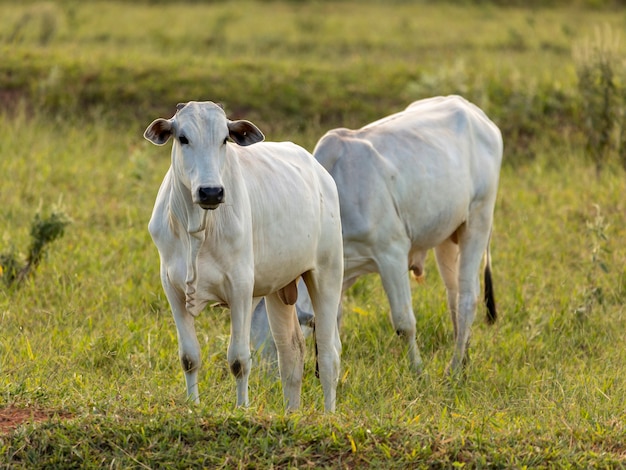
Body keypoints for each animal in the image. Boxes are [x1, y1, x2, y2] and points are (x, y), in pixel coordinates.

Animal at [143, 101, 342, 410]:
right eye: (183, 138)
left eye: (225, 139)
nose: (211, 192)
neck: (197, 228)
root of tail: (320, 173)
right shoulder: (172, 287)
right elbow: (189, 357)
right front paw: (193, 405)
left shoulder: (240, 287)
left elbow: (238, 360)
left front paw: (241, 408)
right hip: (280, 288)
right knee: (291, 350)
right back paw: (291, 412)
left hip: (328, 273)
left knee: (329, 353)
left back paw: (329, 414)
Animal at [312, 96, 502, 378]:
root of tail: (472, 109)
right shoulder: (341, 272)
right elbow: (334, 321)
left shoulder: (391, 254)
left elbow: (404, 323)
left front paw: (419, 371)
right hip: (447, 235)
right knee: (454, 296)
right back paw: (464, 358)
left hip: (478, 219)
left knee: (467, 298)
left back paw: (454, 368)